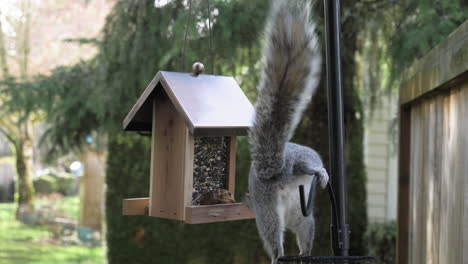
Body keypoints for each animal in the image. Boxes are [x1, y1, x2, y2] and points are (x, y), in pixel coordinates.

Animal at [249, 1, 330, 262]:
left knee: (288, 233)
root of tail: (273, 170)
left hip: (286, 213)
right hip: (284, 193)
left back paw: (298, 253)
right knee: (307, 167)